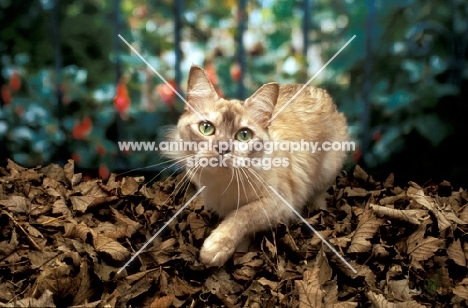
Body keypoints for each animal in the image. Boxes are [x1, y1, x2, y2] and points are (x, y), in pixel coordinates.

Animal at [164, 65, 348, 268]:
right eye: (206, 128)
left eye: (244, 135)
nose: (223, 148)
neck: (222, 183)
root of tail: (319, 90)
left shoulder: (280, 204)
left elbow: (241, 215)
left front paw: (215, 249)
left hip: (327, 170)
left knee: (320, 195)